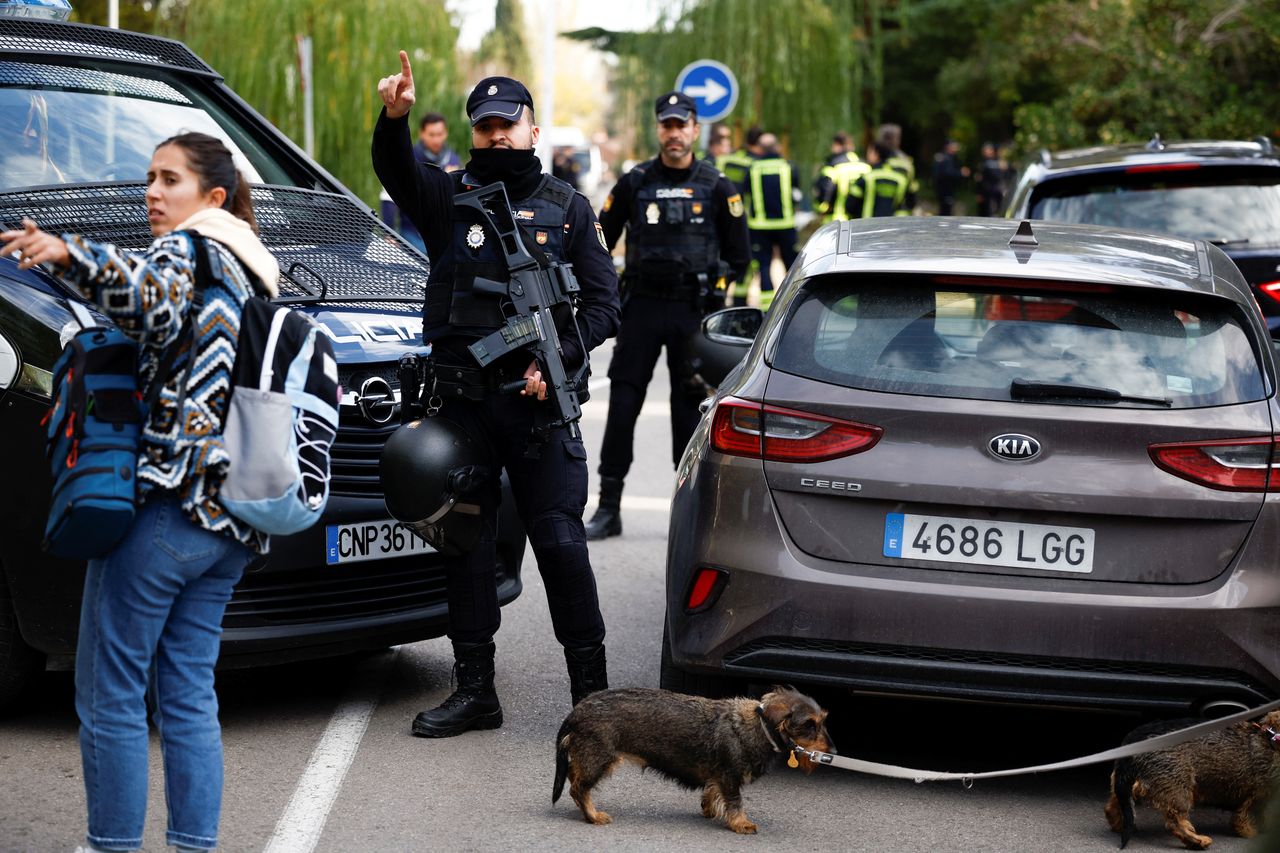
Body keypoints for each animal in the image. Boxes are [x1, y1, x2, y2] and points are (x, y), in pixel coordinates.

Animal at [552, 686, 834, 829]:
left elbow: (712, 792)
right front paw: (741, 823)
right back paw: (593, 816)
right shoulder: (730, 776)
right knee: (578, 788)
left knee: (574, 776)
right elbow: (736, 802)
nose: (833, 753)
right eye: (809, 724)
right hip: (599, 759)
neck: (757, 726)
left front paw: (709, 808)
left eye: (823, 721)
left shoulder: (719, 776)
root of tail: (577, 710)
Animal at [1100, 701, 1280, 845]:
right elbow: (1245, 817)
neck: (1270, 738)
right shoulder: (1257, 795)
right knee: (1175, 823)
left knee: (1116, 802)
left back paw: (1119, 824)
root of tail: (1135, 739)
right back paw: (1198, 841)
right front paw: (1250, 832)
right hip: (1178, 786)